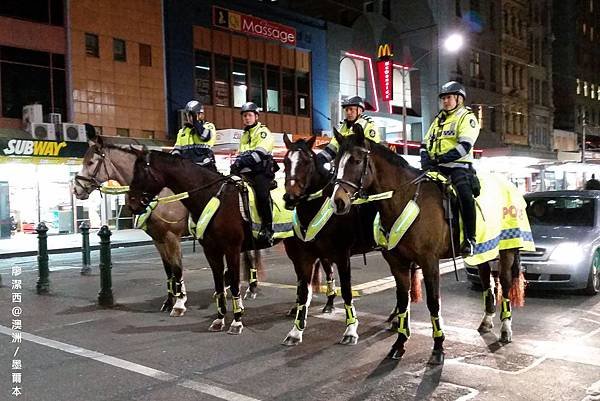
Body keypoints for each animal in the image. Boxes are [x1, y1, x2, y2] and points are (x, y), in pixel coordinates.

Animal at [330, 127, 524, 362]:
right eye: (335, 162)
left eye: (357, 160)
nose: (338, 202)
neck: (405, 199)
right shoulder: (398, 264)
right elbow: (402, 302)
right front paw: (399, 343)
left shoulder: (430, 262)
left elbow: (433, 302)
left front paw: (438, 346)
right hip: (483, 252)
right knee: (488, 282)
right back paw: (486, 321)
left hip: (507, 251)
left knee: (505, 284)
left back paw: (506, 329)